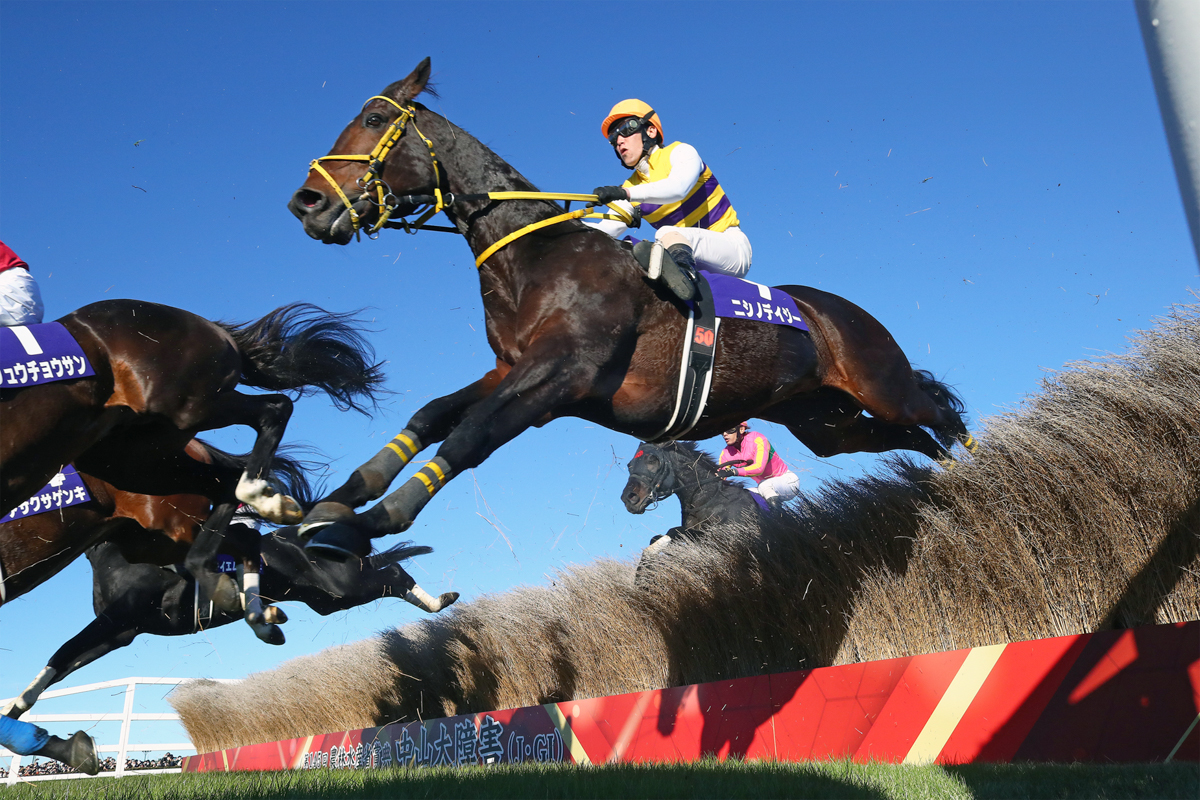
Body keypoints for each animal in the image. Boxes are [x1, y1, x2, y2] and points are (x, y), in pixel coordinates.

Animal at [0, 302, 384, 618]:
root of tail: (204, 322)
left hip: (184, 410)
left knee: (275, 408)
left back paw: (257, 498)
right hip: (137, 469)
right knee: (233, 510)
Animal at [3, 527, 453, 724]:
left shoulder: (119, 618)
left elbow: (64, 649)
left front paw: (15, 705)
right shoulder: (120, 632)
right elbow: (63, 661)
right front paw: (18, 705)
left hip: (339, 587)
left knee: (392, 572)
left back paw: (439, 601)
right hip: (325, 599)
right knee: (385, 572)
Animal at [288, 57, 974, 556]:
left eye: (374, 117)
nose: (306, 204)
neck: (536, 260)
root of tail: (844, 312)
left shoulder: (563, 375)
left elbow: (473, 431)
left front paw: (373, 519)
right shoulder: (512, 369)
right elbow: (433, 414)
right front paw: (335, 498)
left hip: (879, 384)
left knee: (937, 413)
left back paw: (979, 461)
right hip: (826, 422)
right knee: (909, 436)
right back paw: (951, 481)